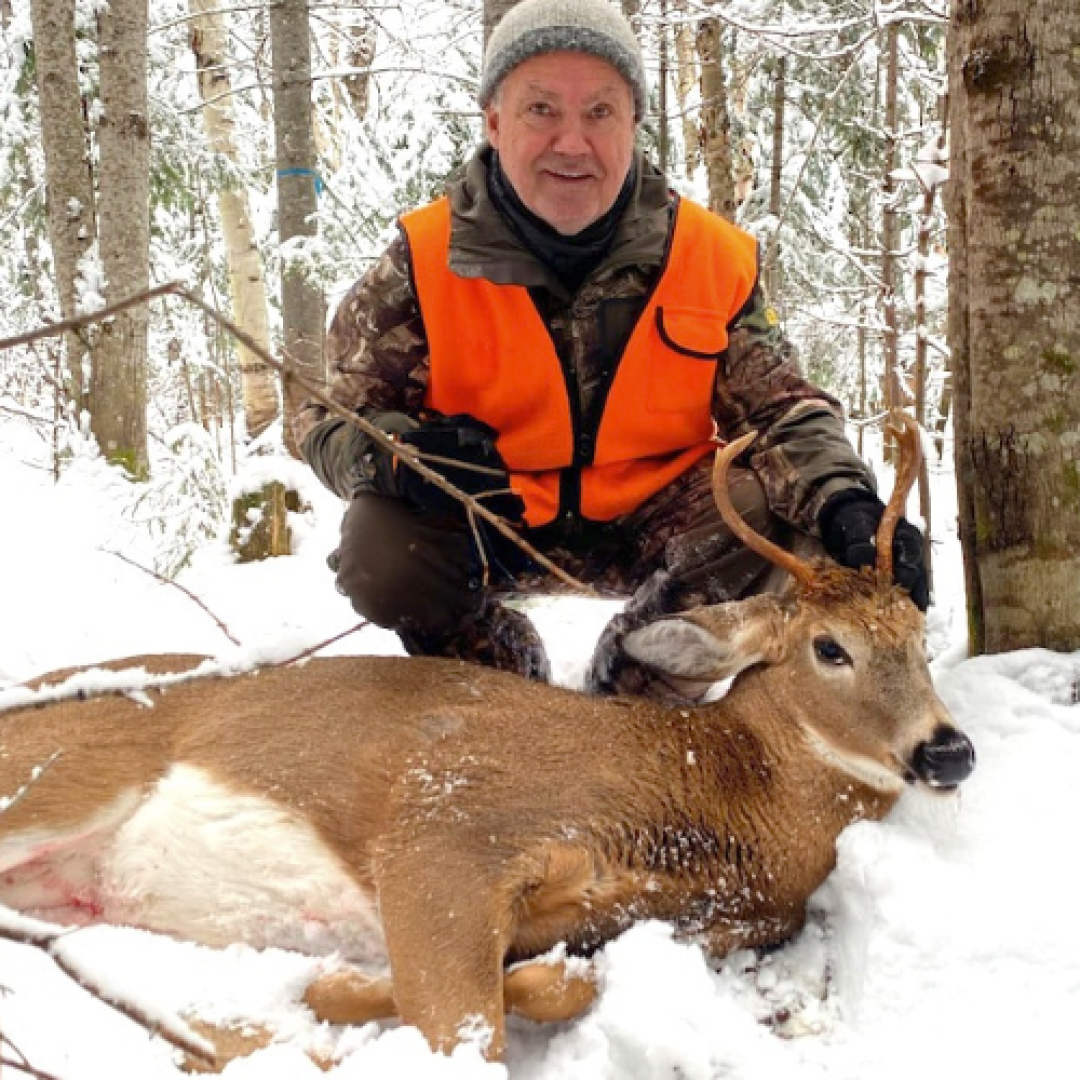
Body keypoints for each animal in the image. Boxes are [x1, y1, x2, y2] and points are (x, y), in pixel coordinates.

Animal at [0, 410, 976, 1062]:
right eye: (829, 647)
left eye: (915, 628)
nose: (948, 750)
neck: (704, 787)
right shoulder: (448, 824)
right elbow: (470, 1036)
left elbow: (555, 985)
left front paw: (332, 990)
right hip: (60, 771)